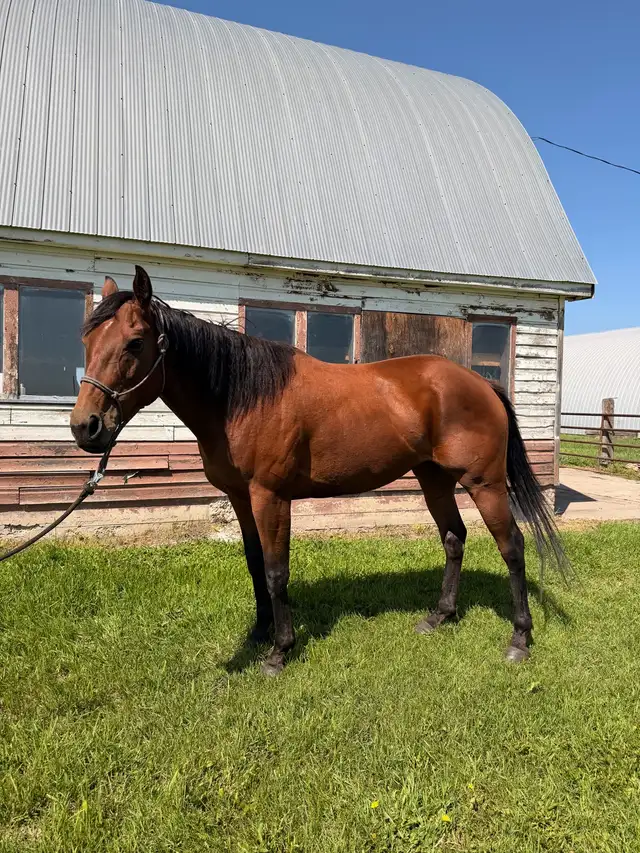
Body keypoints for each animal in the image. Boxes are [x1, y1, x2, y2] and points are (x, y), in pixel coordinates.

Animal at [71, 266, 567, 676]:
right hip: (434, 480)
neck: (242, 396)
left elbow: (276, 571)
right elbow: (255, 564)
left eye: (134, 343)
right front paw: (259, 633)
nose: (85, 426)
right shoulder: (241, 498)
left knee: (512, 547)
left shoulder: (270, 497)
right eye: (87, 342)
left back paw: (519, 639)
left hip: (485, 484)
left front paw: (279, 650)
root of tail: (480, 382)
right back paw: (439, 616)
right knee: (453, 538)